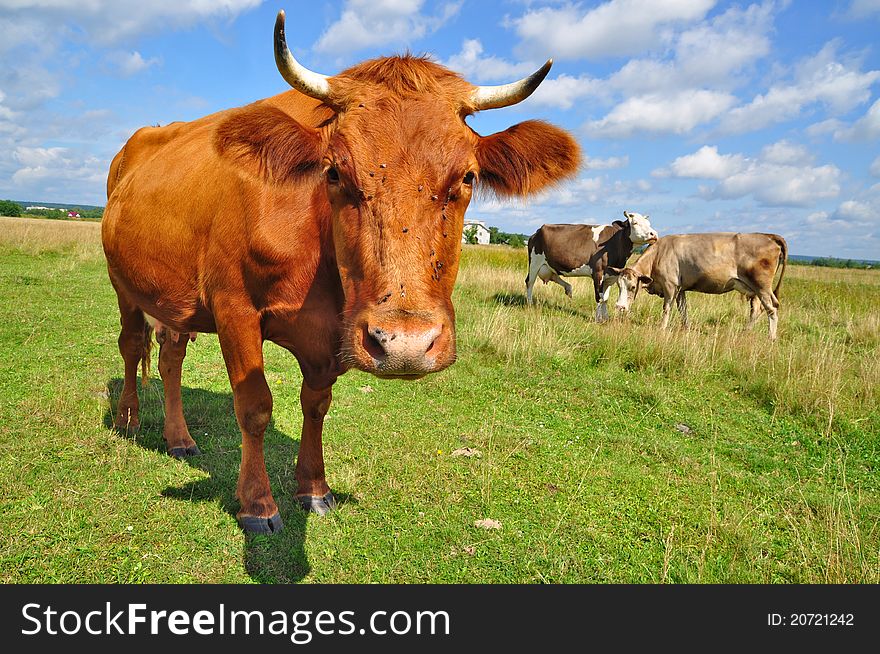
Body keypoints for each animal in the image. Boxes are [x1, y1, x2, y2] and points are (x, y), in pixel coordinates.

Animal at [103, 10, 580, 532]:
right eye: (334, 171)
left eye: (468, 177)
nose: (406, 345)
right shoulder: (235, 309)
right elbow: (254, 406)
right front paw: (258, 504)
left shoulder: (329, 337)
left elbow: (316, 406)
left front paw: (314, 488)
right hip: (123, 284)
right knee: (132, 346)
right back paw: (128, 420)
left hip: (175, 299)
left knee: (169, 357)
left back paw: (179, 438)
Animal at [524, 211, 656, 322]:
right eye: (635, 222)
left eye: (649, 223)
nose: (654, 234)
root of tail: (538, 230)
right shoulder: (598, 273)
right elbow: (599, 297)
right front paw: (598, 319)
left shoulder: (611, 275)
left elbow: (605, 298)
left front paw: (605, 318)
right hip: (535, 261)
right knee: (530, 282)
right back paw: (529, 304)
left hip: (549, 264)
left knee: (553, 276)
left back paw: (568, 289)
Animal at [608, 233, 788, 340]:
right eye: (618, 285)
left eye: (632, 287)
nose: (620, 307)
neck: (658, 254)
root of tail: (768, 236)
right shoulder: (680, 289)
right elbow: (683, 309)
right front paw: (685, 328)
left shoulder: (670, 286)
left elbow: (667, 309)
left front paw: (662, 328)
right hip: (755, 289)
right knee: (757, 309)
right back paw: (746, 331)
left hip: (762, 286)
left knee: (772, 308)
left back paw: (771, 338)